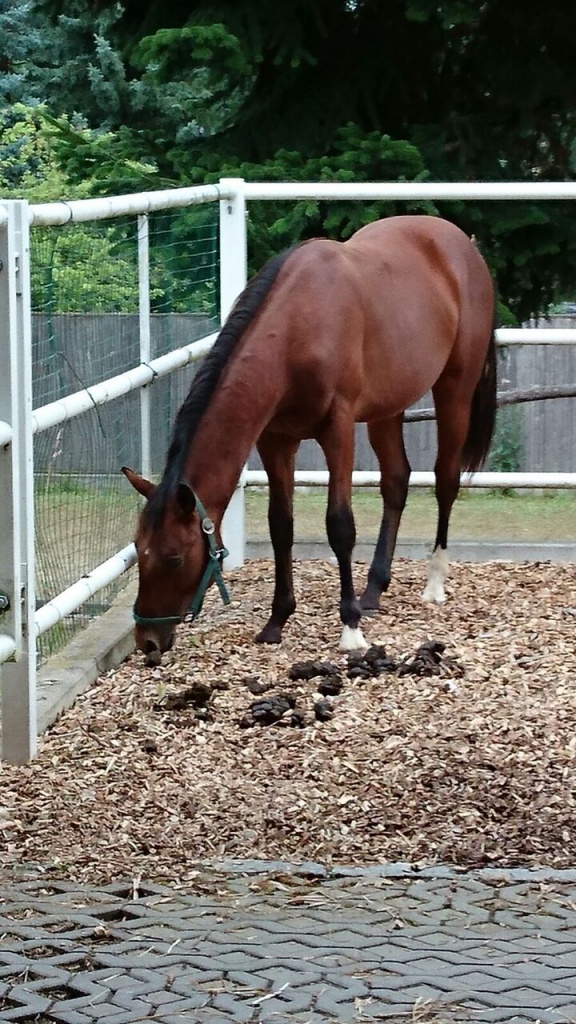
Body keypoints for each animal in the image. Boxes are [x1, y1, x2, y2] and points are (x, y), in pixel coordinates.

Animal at [122, 214, 497, 666]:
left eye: (175, 557)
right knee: (396, 481)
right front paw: (277, 620)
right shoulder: (276, 439)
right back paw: (374, 589)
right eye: (137, 548)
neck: (295, 329)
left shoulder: (337, 431)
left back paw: (434, 581)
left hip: (454, 389)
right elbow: (280, 525)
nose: (147, 642)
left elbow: (340, 526)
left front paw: (350, 628)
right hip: (387, 408)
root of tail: (462, 243)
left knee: (445, 479)